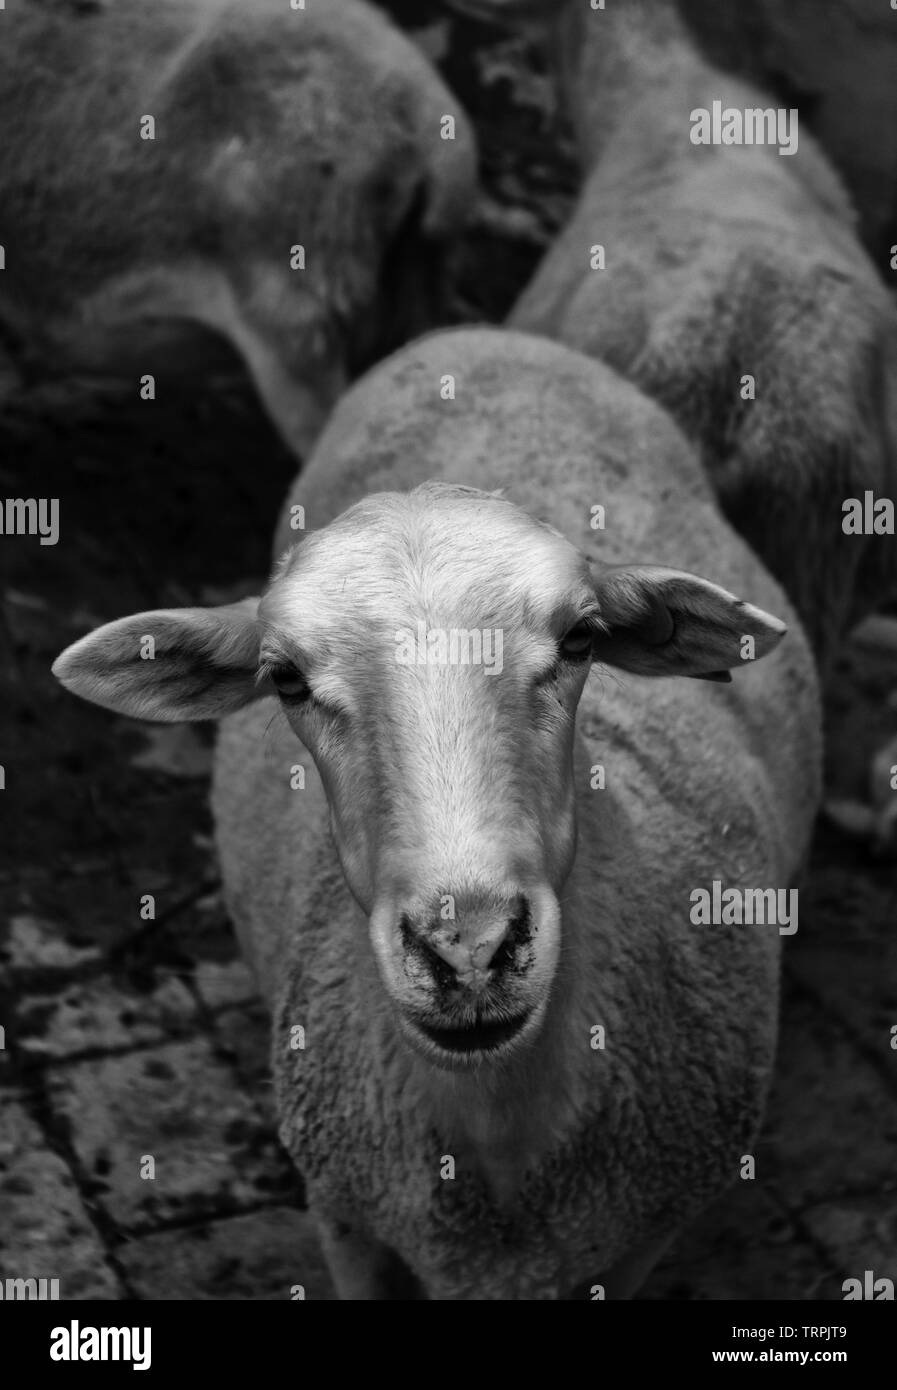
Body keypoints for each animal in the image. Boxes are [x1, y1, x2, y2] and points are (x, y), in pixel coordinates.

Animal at [53, 327, 821, 1298]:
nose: (469, 948)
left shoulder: (644, 1235)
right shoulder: (344, 1219)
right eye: (284, 679)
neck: (499, 1133)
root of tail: (476, 335)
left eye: (580, 639)